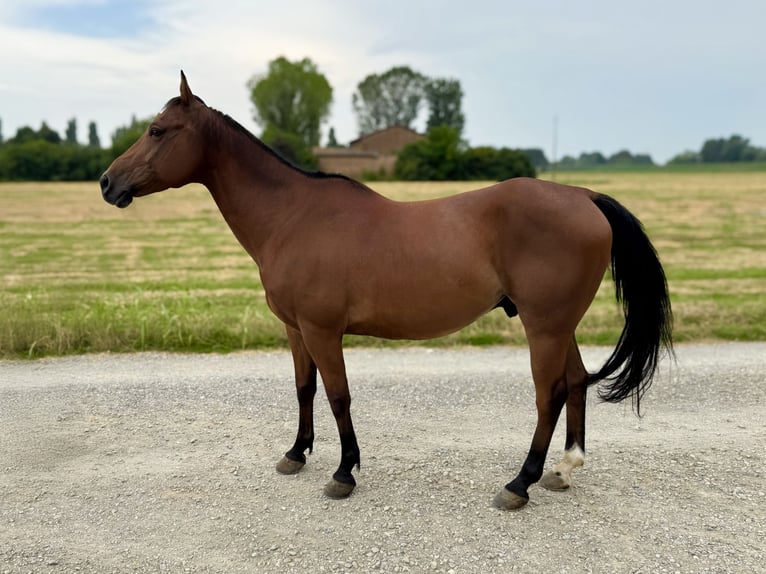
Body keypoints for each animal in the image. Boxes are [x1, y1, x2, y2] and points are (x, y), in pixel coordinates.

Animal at [100, 72, 672, 510]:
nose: (107, 183)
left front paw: (344, 472)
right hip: (558, 325)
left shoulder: (322, 330)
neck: (292, 216)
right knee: (574, 382)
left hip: (544, 327)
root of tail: (584, 196)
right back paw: (564, 469)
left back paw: (520, 483)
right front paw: (296, 453)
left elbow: (338, 395)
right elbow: (305, 389)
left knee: (549, 393)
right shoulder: (295, 329)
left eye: (157, 130)